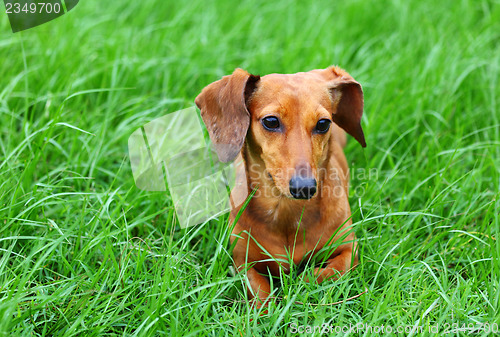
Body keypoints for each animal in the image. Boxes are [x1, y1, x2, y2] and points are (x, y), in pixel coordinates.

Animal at [196, 65, 368, 308]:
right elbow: (259, 293)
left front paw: (302, 283)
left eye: (323, 124)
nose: (304, 187)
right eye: (271, 121)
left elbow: (328, 272)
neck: (286, 211)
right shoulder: (242, 262)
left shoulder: (349, 249)